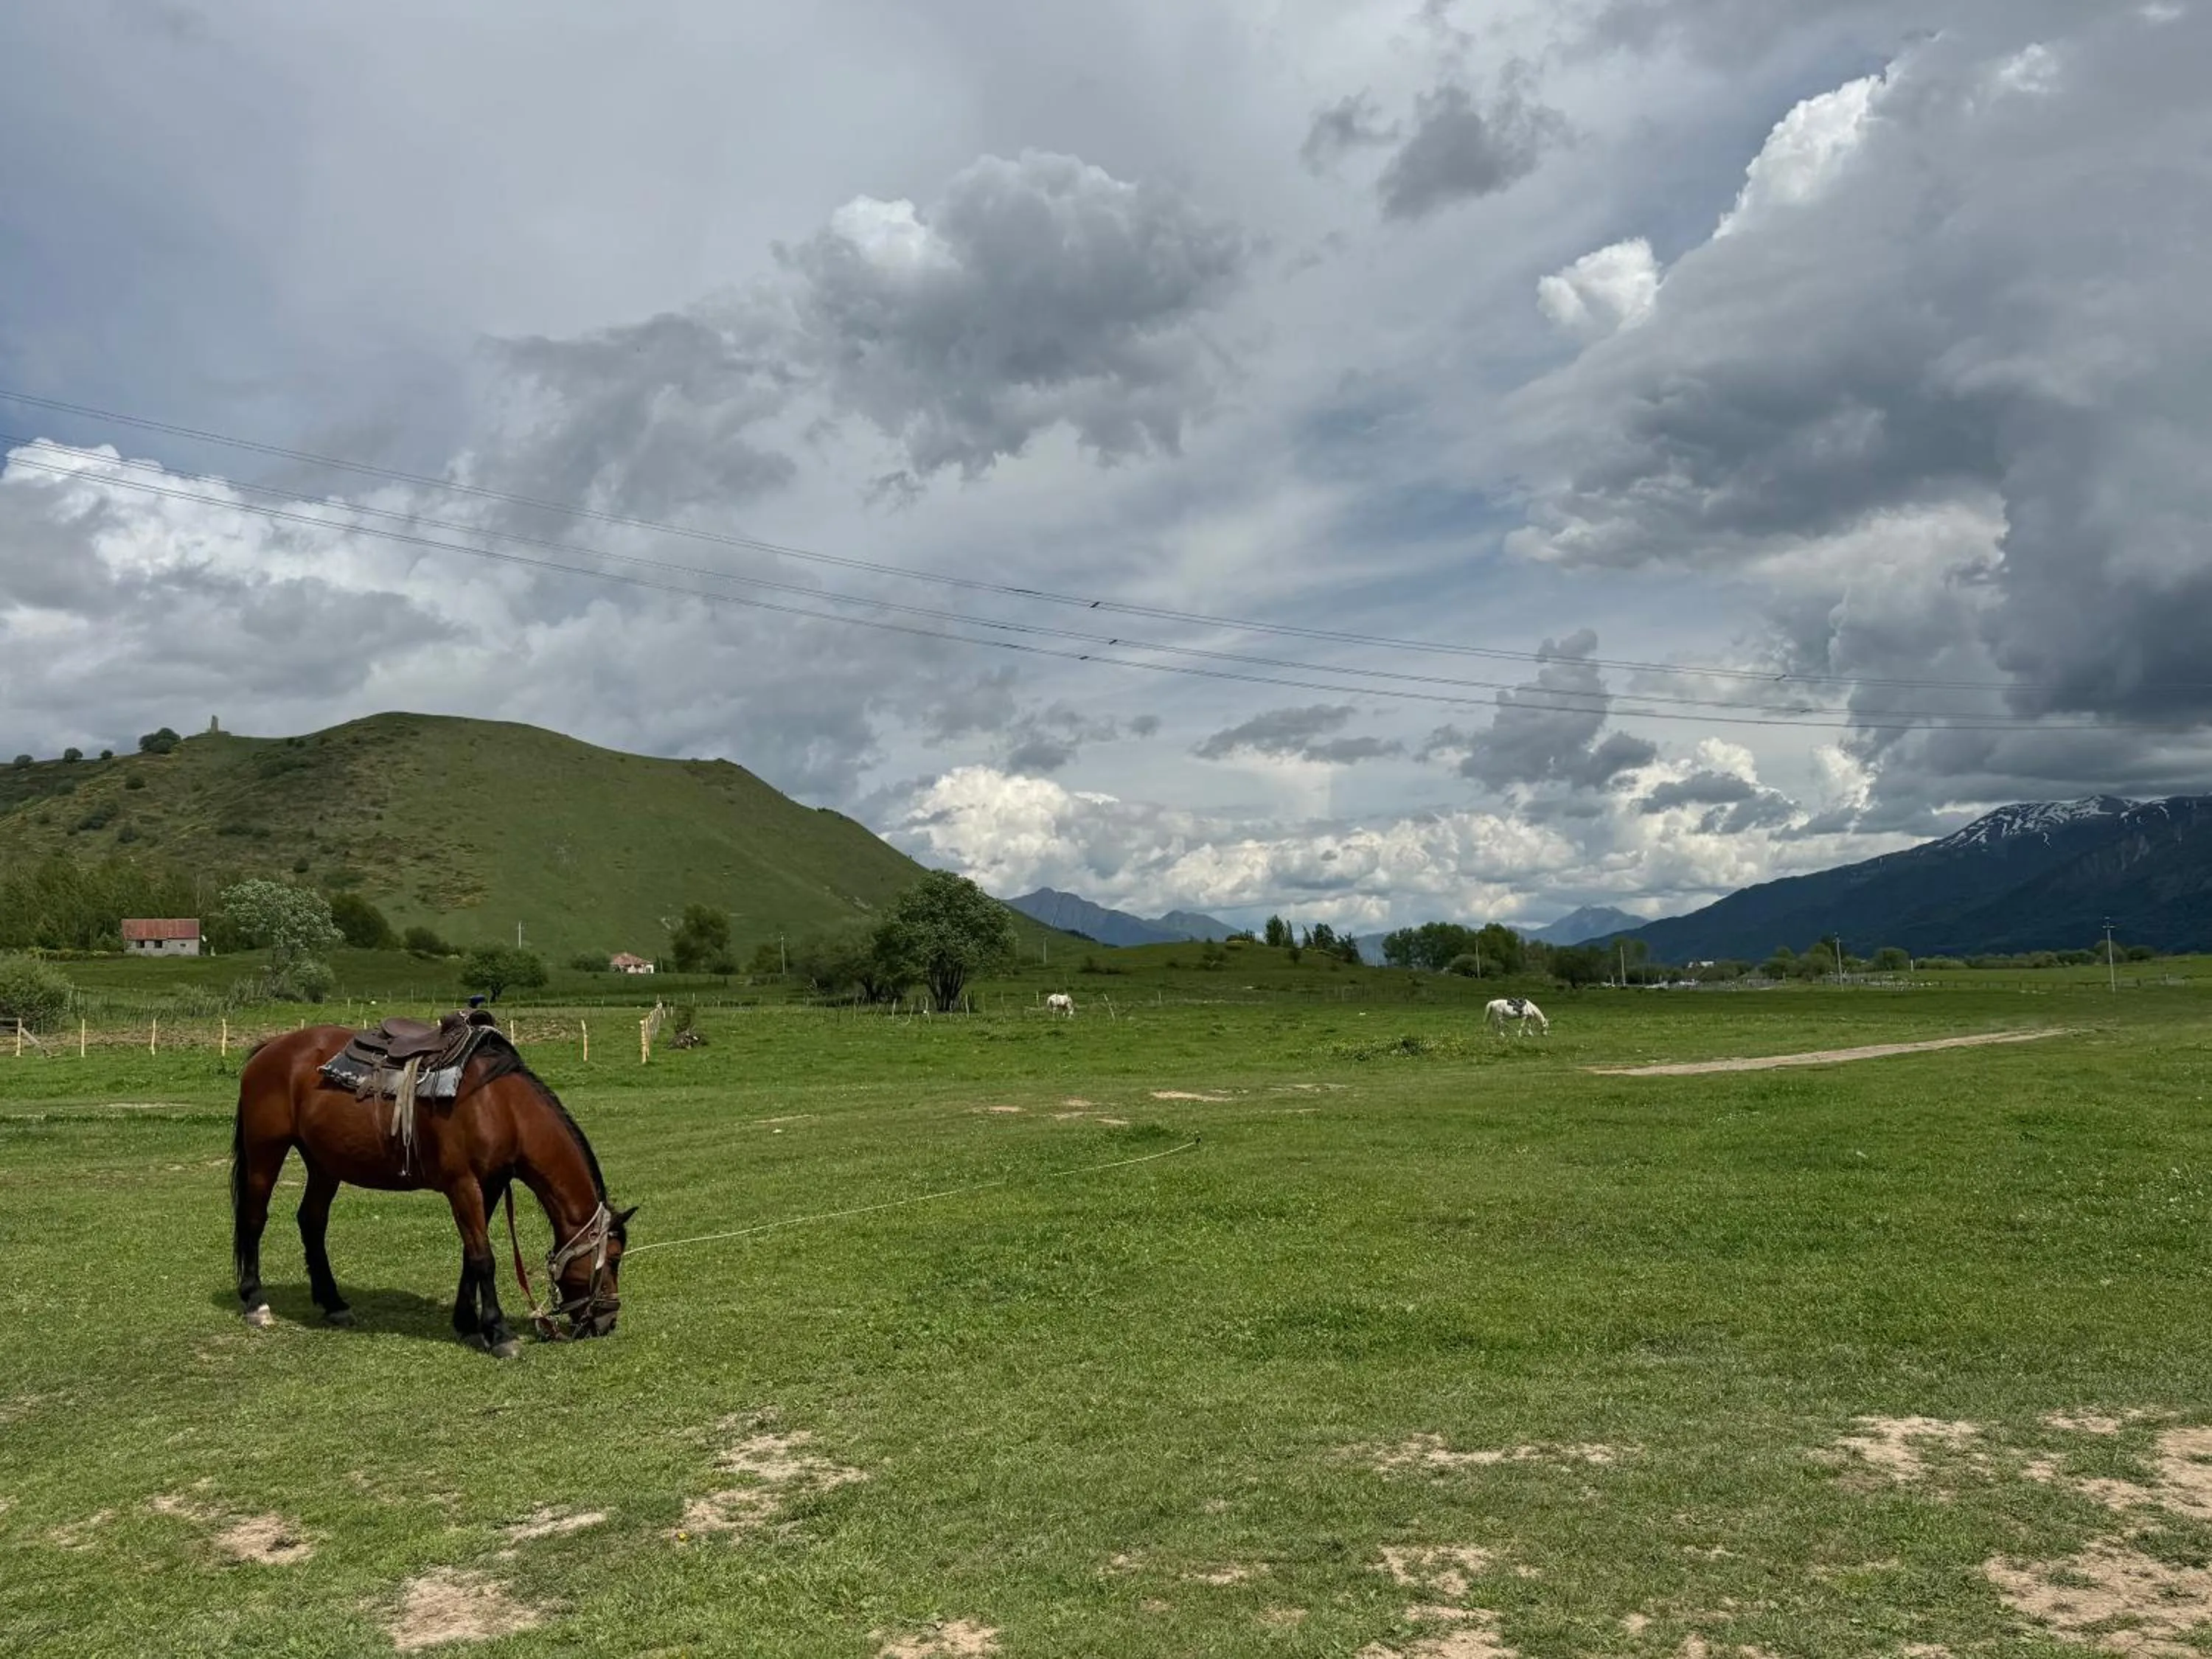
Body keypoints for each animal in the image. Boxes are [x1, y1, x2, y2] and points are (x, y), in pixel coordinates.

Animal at [230, 1025, 634, 1357]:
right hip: (266, 1152)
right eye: (613, 1258)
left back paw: (334, 1303)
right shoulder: (463, 1185)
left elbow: (470, 1256)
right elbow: (484, 1259)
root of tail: (270, 1049)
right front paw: (499, 1334)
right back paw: (256, 1303)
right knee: (254, 1218)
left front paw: (468, 1324)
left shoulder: (490, 1185)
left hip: (323, 1164)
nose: (608, 1322)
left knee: (311, 1221)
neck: (501, 1107)